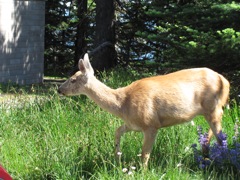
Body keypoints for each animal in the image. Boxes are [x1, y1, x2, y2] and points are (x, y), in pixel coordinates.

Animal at [57, 53, 230, 167]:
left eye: (73, 79)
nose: (59, 90)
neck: (122, 103)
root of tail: (225, 81)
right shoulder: (132, 124)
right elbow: (117, 131)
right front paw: (117, 157)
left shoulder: (150, 123)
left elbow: (144, 154)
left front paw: (142, 172)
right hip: (211, 110)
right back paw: (206, 152)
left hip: (213, 107)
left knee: (221, 136)